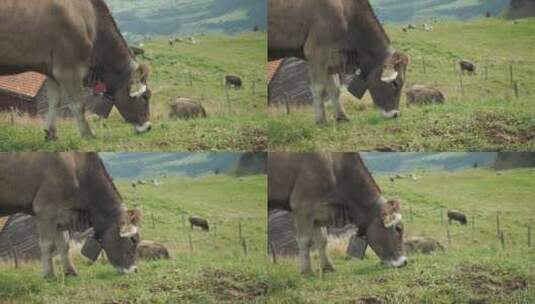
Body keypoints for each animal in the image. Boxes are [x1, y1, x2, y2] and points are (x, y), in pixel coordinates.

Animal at [0, 0, 153, 140]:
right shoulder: (69, 68)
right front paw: (88, 135)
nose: (148, 127)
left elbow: (55, 102)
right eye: (145, 97)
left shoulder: (51, 71)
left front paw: (51, 133)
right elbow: (78, 104)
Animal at [0, 152, 142, 278]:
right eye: (133, 240)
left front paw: (70, 271)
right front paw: (48, 275)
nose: (135, 270)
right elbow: (47, 245)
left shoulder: (61, 215)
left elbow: (64, 245)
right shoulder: (45, 210)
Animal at [268, 0, 410, 122]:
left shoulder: (331, 56)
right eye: (396, 83)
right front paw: (321, 120)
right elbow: (319, 88)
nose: (395, 114)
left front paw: (342, 117)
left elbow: (334, 89)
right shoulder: (316, 51)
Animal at [270, 153, 408, 274]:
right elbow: (305, 240)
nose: (404, 262)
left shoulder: (319, 210)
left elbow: (322, 240)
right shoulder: (302, 206)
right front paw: (306, 271)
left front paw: (328, 267)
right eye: (398, 228)